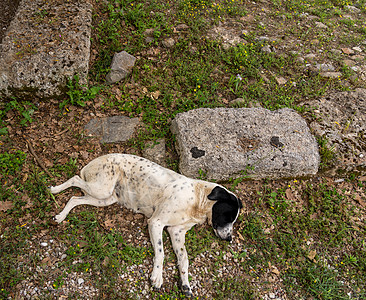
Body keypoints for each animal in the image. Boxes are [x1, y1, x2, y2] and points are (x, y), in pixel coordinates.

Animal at [49, 154, 243, 296]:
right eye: (228, 216)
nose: (230, 239)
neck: (196, 198)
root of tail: (93, 162)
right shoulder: (156, 223)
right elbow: (161, 252)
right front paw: (157, 277)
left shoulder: (176, 232)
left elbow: (184, 260)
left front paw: (186, 284)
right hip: (101, 188)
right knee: (75, 179)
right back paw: (54, 190)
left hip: (105, 198)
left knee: (74, 199)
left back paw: (61, 215)